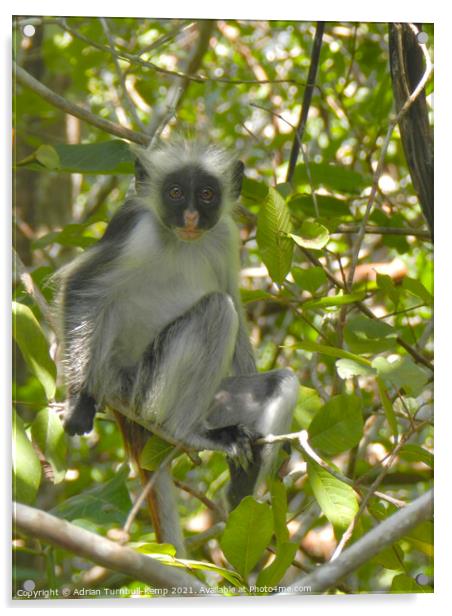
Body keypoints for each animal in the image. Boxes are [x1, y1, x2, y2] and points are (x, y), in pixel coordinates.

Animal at [57, 140, 300, 552]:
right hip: (141, 390)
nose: (189, 215)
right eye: (174, 192)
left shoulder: (224, 235)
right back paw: (188, 431)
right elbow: (80, 285)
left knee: (282, 379)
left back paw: (242, 484)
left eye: (206, 194)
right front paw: (78, 401)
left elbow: (237, 313)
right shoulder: (133, 228)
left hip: (217, 402)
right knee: (217, 310)